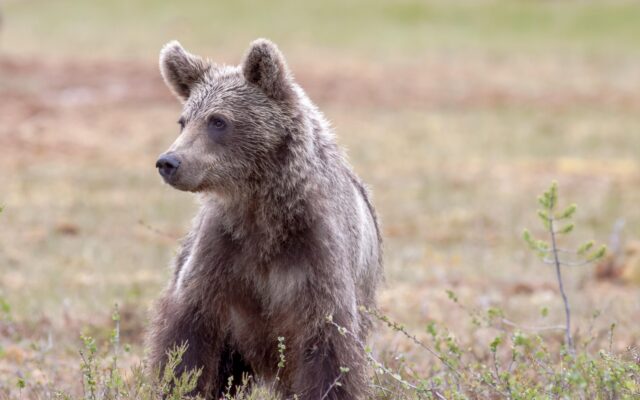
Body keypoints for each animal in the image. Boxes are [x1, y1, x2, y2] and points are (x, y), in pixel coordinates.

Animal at [147, 38, 382, 400]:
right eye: (183, 120)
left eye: (218, 121)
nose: (169, 162)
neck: (264, 213)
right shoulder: (221, 254)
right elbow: (186, 342)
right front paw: (180, 385)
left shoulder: (316, 256)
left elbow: (329, 352)